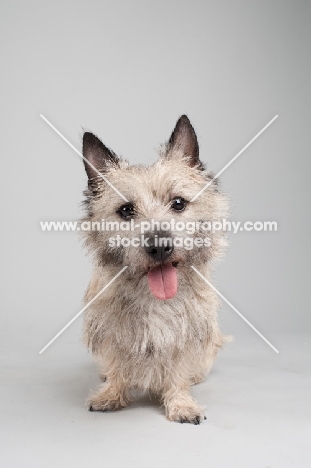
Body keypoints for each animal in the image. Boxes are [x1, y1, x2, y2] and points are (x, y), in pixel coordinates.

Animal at [81, 114, 230, 424]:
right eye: (126, 210)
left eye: (178, 203)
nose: (159, 246)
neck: (155, 298)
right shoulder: (110, 329)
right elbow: (117, 363)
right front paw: (111, 394)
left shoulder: (186, 334)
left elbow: (177, 370)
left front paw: (181, 404)